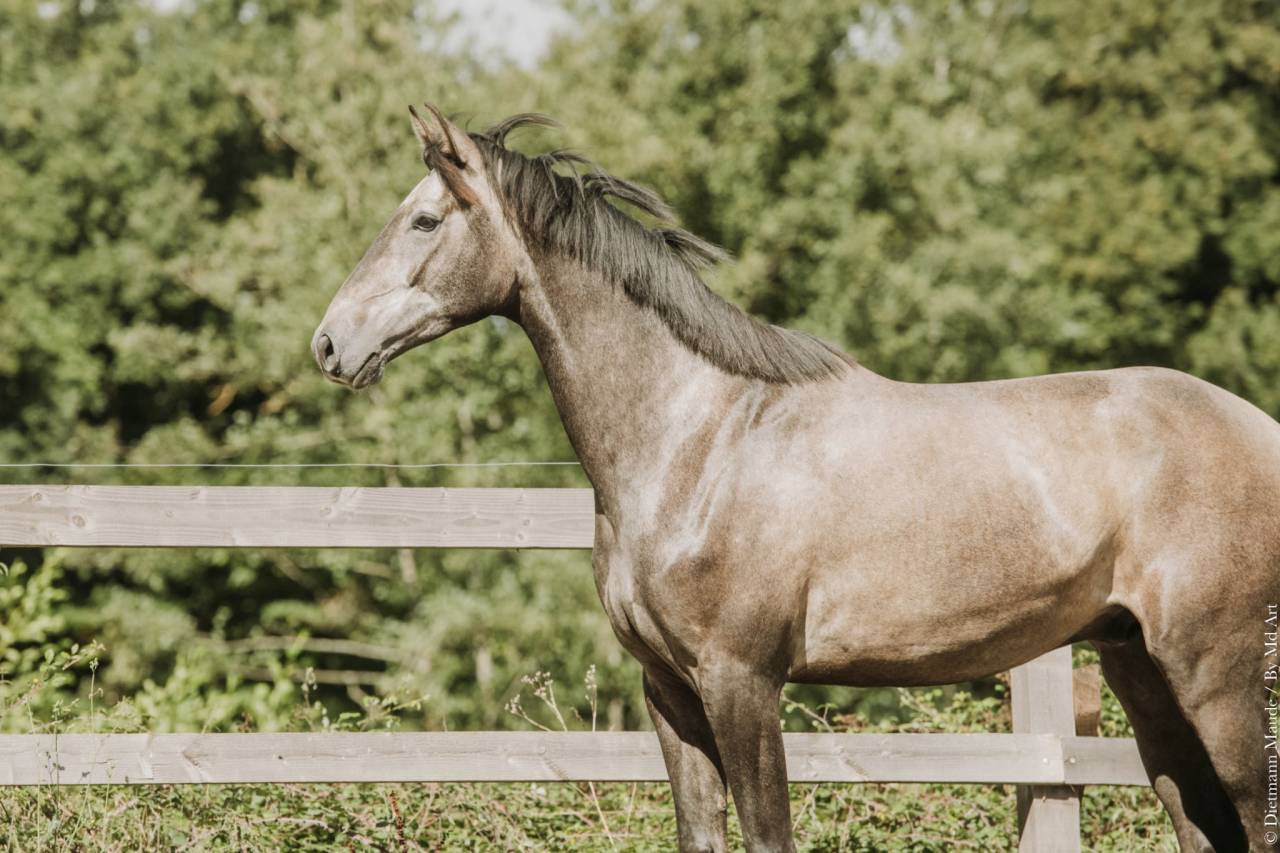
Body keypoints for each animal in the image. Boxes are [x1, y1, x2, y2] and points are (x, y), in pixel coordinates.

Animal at [312, 104, 1279, 851]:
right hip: (1141, 673)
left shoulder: (743, 681)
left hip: (1217, 676)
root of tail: (1258, 427)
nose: (329, 343)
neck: (698, 437)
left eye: (425, 222)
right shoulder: (669, 693)